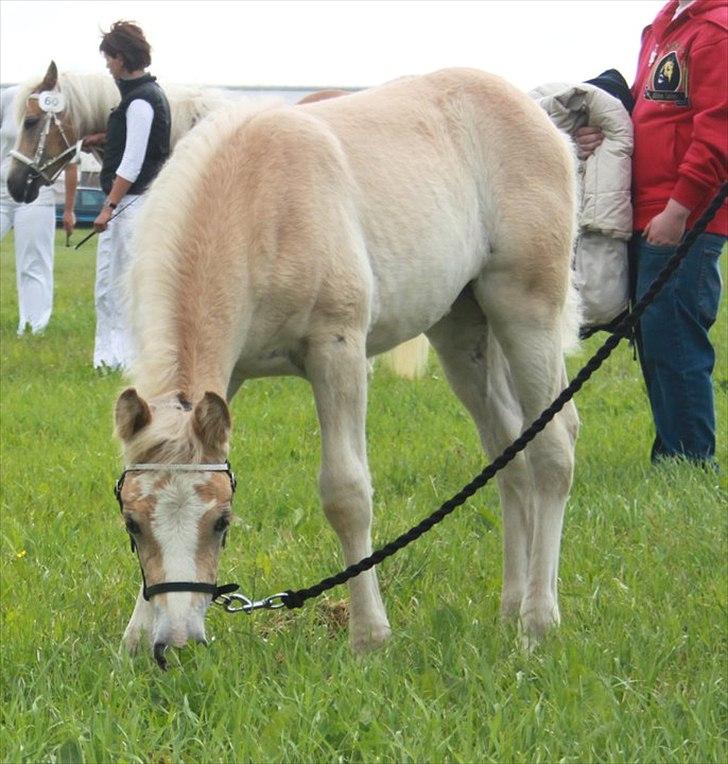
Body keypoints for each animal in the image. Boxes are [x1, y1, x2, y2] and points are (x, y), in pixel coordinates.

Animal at [114, 67, 580, 668]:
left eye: (222, 521)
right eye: (132, 522)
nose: (176, 644)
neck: (259, 200)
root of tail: (541, 117)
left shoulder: (338, 349)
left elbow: (346, 492)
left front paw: (369, 636)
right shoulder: (229, 377)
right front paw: (133, 636)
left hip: (526, 313)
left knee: (553, 451)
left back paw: (538, 622)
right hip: (462, 333)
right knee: (510, 457)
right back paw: (510, 606)